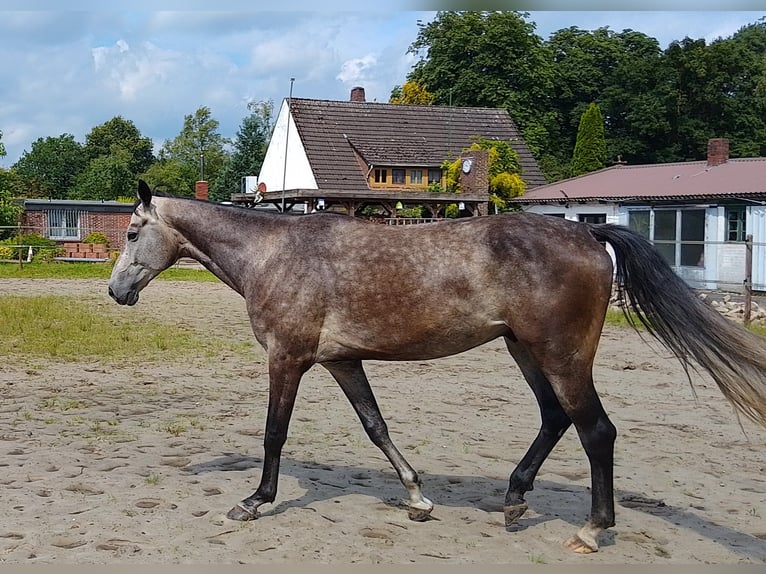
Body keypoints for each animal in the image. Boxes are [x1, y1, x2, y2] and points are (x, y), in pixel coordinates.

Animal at [108, 182, 766, 556]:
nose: (116, 291)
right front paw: (418, 497)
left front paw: (254, 501)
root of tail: (590, 236)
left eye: (134, 231)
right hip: (524, 350)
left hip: (561, 356)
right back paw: (514, 499)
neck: (275, 254)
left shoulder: (288, 359)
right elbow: (376, 426)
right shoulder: (343, 361)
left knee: (595, 430)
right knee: (555, 419)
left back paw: (590, 530)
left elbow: (274, 433)